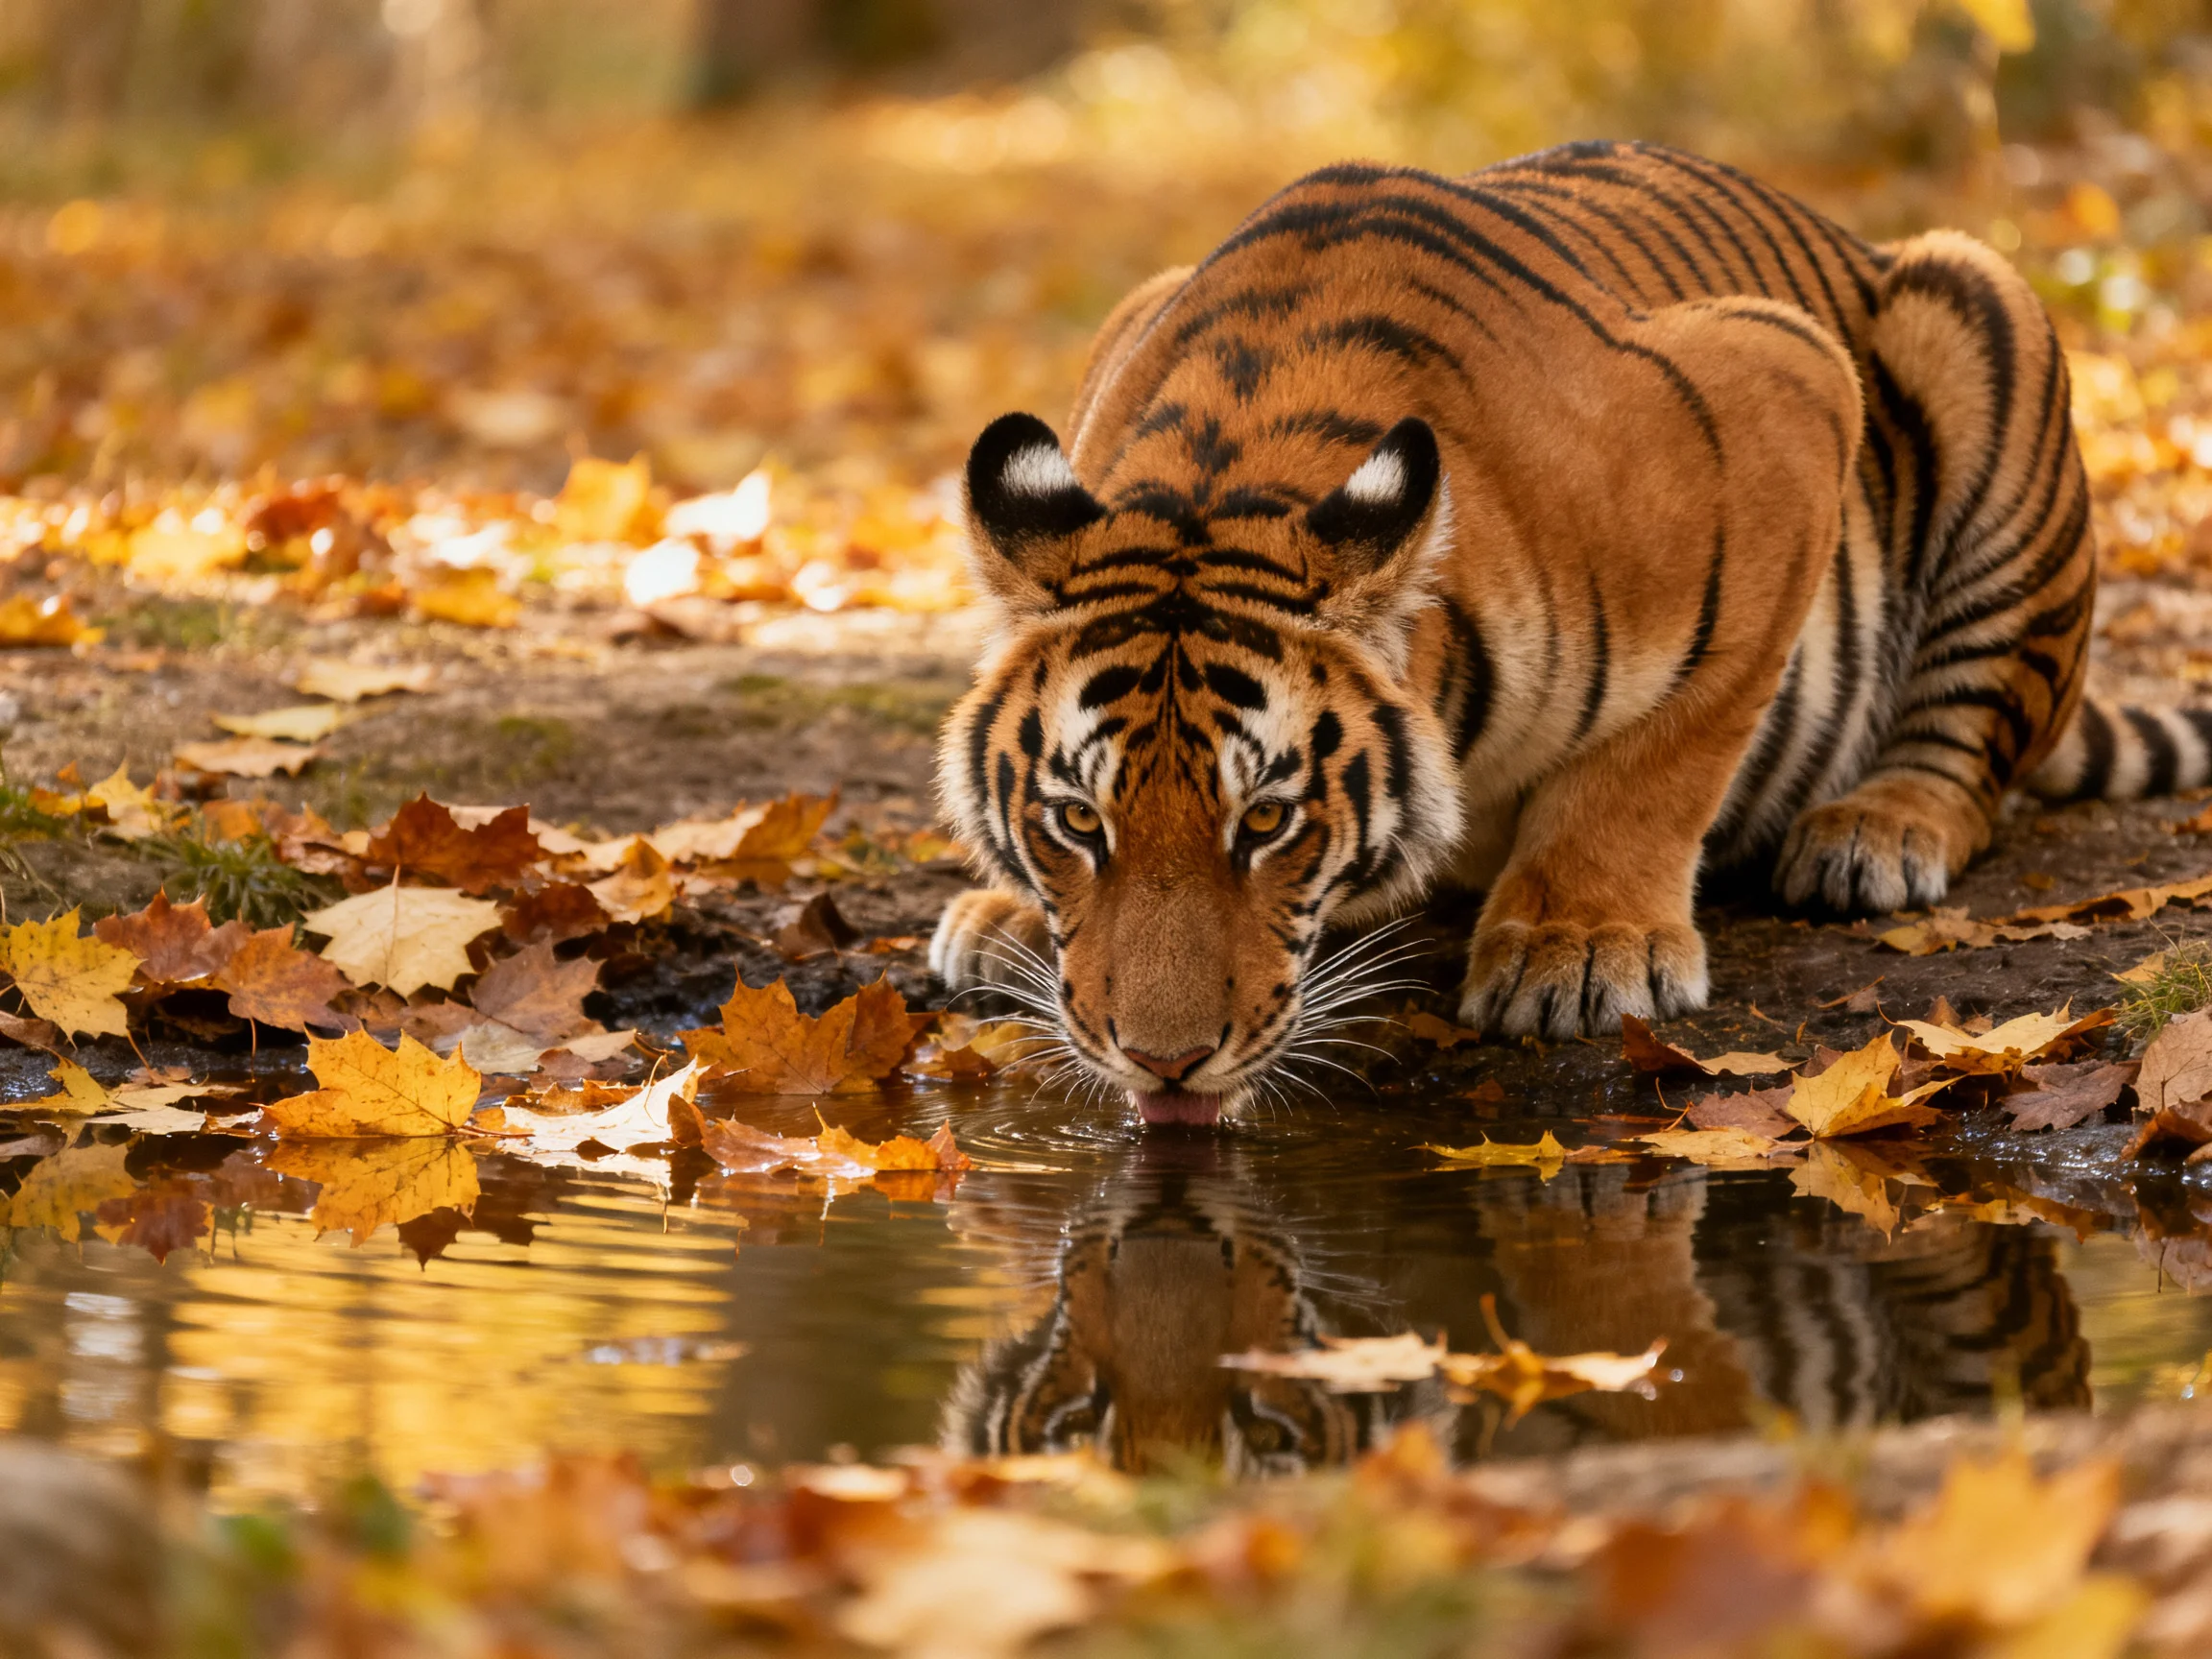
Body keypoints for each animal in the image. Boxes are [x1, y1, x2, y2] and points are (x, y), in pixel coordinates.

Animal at [931, 139, 2208, 1126]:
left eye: (1267, 822)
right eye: (1077, 821)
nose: (1161, 1061)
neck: (1227, 472)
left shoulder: (1783, 386)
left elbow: (1661, 755)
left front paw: (1583, 947)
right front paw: (1012, 905)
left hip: (1979, 312)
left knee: (1971, 745)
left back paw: (1876, 831)